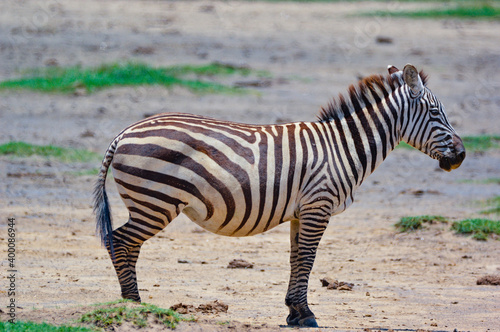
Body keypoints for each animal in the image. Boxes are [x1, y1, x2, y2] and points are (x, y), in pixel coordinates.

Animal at [93, 64, 464, 326]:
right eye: (436, 113)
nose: (460, 156)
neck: (342, 148)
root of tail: (125, 132)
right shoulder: (318, 205)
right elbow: (309, 259)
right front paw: (307, 314)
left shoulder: (302, 212)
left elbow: (296, 258)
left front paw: (294, 312)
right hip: (155, 201)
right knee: (122, 241)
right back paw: (133, 305)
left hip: (149, 202)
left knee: (124, 243)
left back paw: (130, 304)